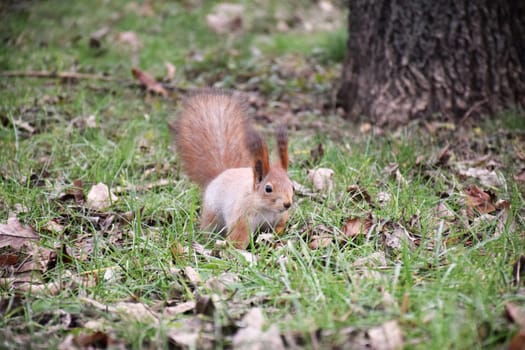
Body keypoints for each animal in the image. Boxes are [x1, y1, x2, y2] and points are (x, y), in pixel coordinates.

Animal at [172, 90, 294, 249]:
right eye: (268, 189)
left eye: (292, 186)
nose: (287, 204)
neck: (266, 209)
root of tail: (221, 174)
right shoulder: (243, 218)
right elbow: (238, 237)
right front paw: (236, 250)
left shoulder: (279, 218)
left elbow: (279, 228)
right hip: (212, 214)